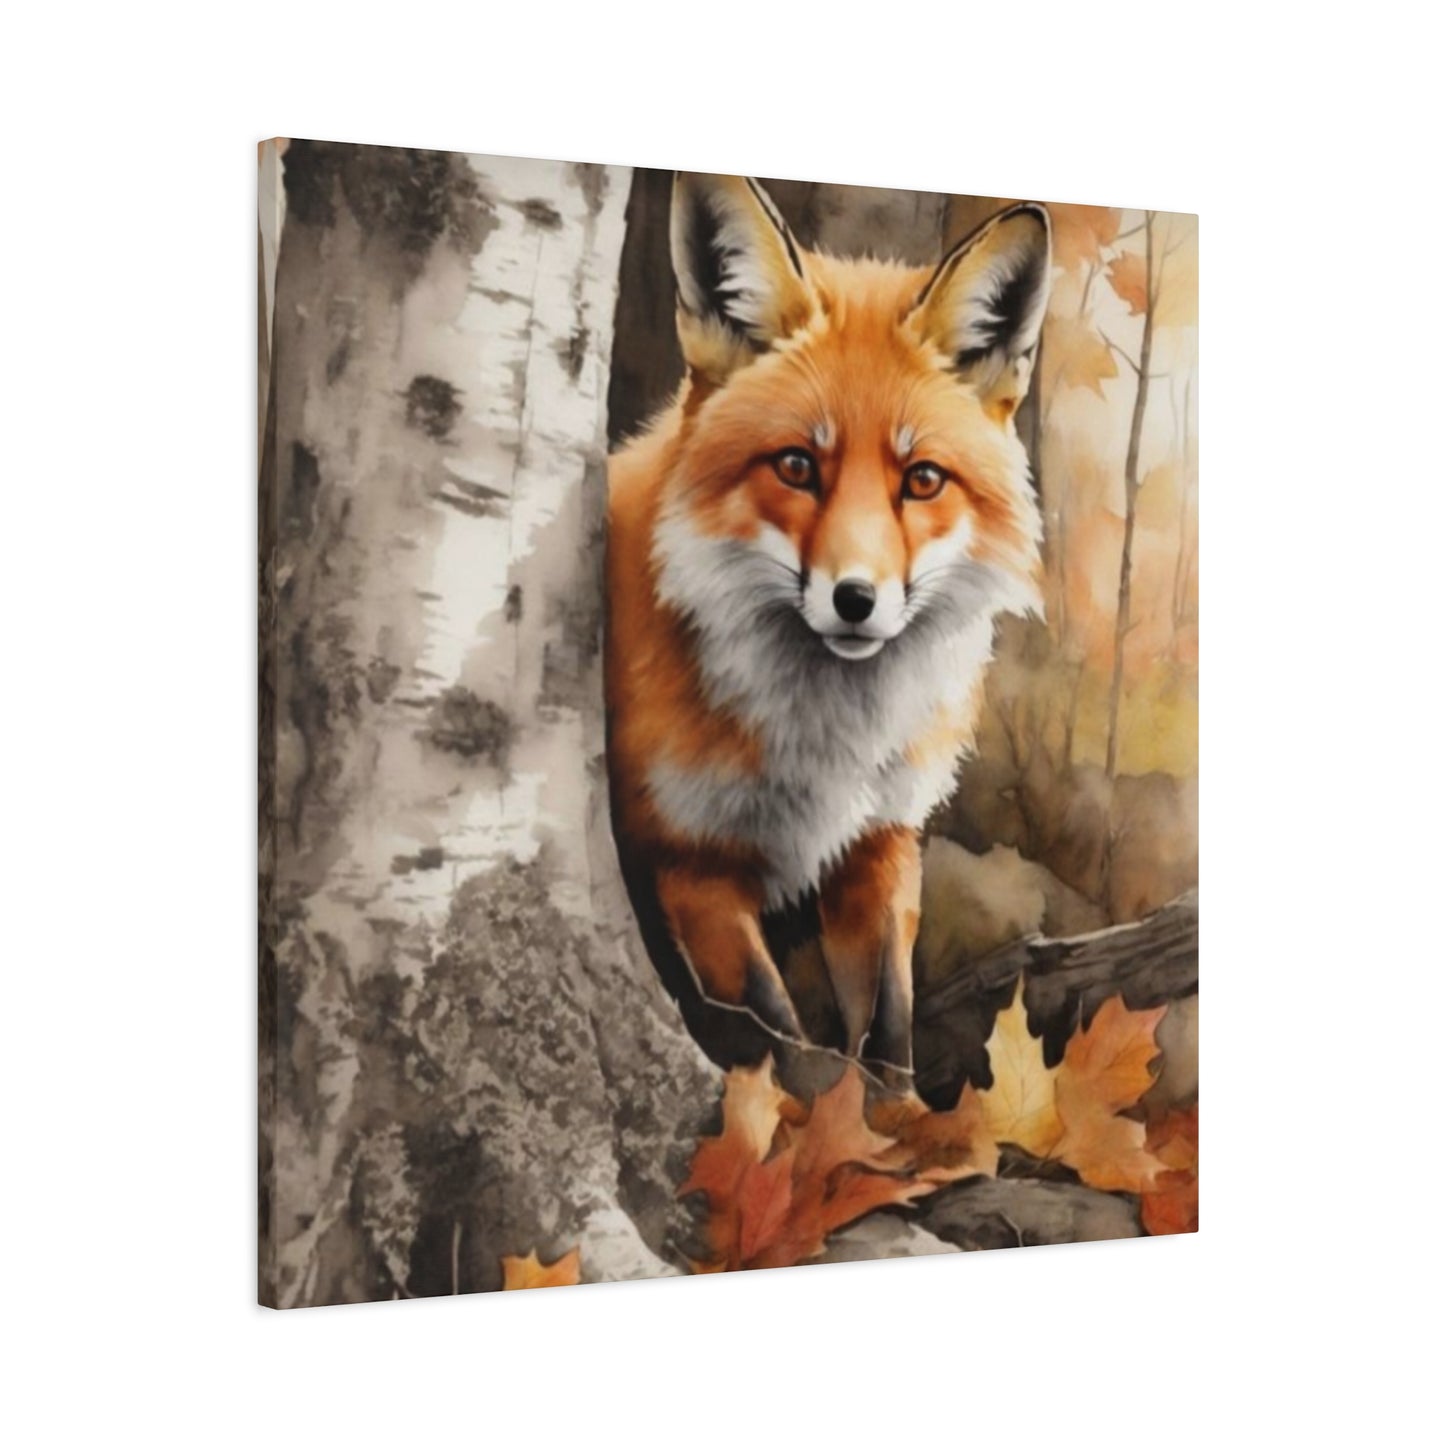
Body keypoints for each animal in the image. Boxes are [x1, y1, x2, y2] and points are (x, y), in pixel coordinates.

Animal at [605, 173, 1050, 1086]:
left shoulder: (881, 844)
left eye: (921, 480)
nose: (854, 598)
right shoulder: (690, 863)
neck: (828, 742)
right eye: (796, 466)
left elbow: (887, 1033)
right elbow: (788, 1046)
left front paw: (900, 1118)